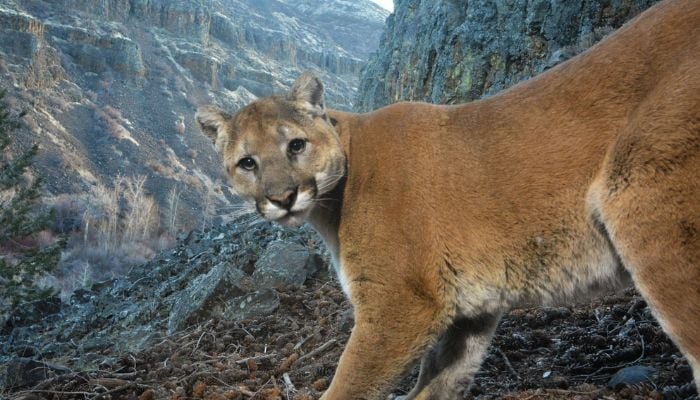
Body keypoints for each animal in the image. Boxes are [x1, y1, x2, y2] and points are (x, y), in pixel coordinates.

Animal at [196, 0, 699, 398]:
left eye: (295, 145)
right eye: (247, 163)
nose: (282, 197)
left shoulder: (399, 301)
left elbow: (348, 385)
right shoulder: (467, 315)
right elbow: (438, 382)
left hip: (642, 193)